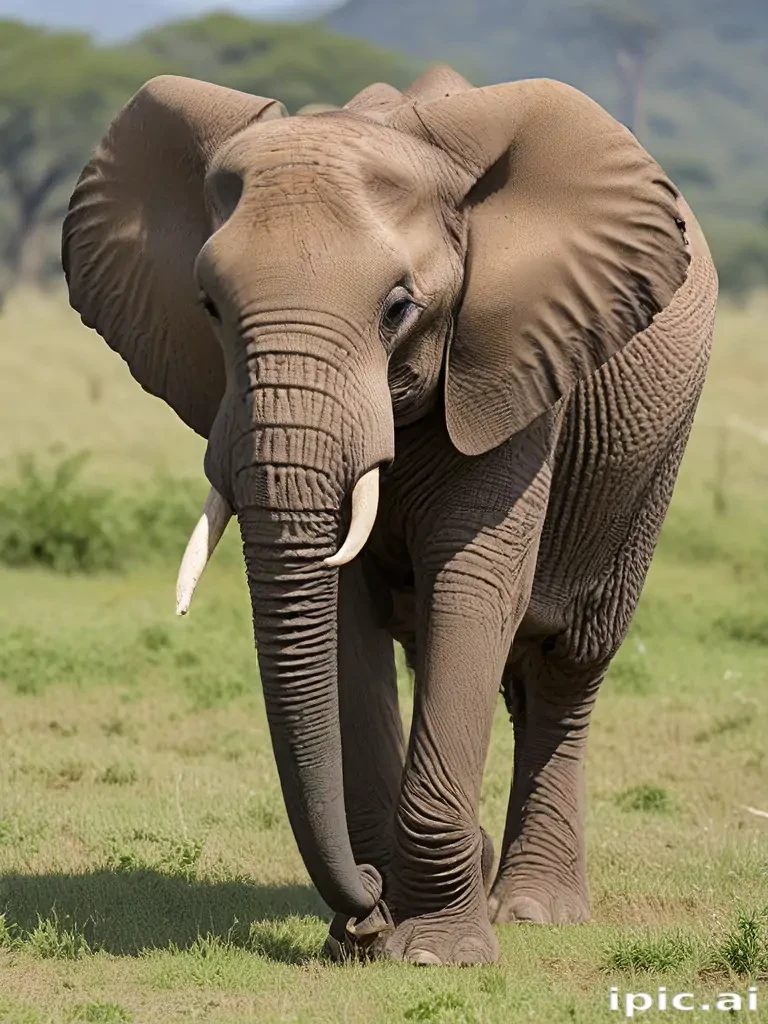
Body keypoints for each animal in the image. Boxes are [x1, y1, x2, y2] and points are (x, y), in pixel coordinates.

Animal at [61, 63, 717, 966]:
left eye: (398, 309)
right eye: (210, 308)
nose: (364, 905)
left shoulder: (511, 358)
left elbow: (473, 589)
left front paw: (436, 951)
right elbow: (345, 614)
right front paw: (368, 938)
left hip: (650, 460)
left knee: (568, 664)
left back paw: (533, 908)